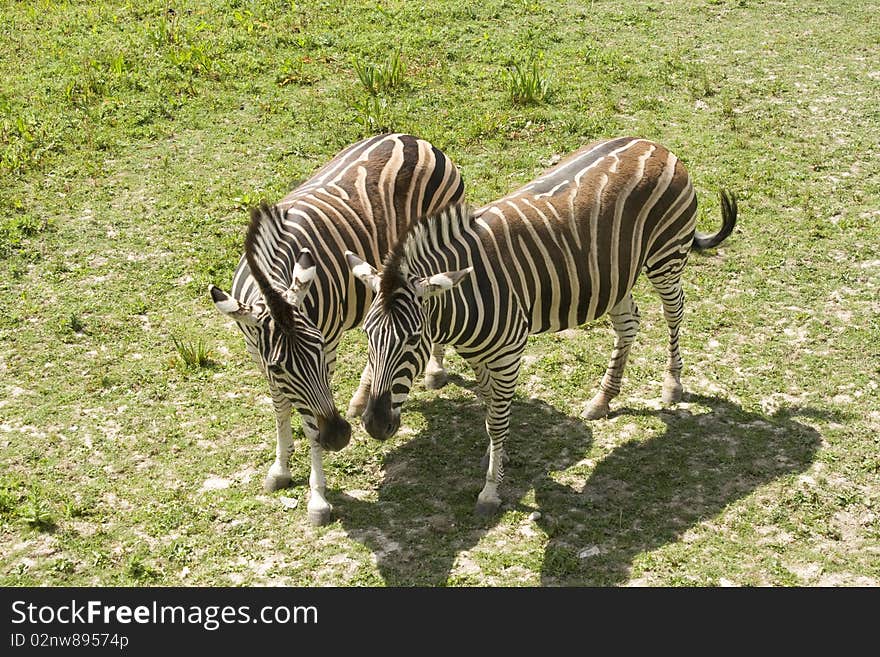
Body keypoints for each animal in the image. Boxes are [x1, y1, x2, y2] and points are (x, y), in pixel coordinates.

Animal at [209, 133, 464, 524]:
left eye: (316, 353)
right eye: (279, 368)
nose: (340, 436)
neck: (272, 288)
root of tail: (408, 137)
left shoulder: (327, 345)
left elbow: (311, 422)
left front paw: (317, 497)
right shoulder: (260, 357)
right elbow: (281, 409)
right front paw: (281, 468)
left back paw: (434, 368)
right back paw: (361, 399)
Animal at [344, 136, 736, 516]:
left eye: (413, 340)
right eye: (367, 336)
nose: (375, 425)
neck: (461, 303)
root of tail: (653, 144)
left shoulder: (508, 354)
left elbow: (497, 420)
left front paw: (491, 490)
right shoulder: (477, 353)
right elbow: (490, 407)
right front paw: (494, 458)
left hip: (666, 255)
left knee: (675, 312)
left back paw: (672, 383)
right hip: (614, 276)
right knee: (628, 323)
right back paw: (603, 399)